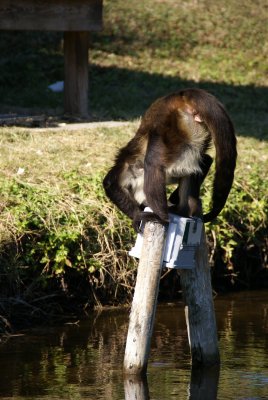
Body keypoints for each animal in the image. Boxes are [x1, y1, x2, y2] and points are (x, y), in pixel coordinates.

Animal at [102, 87, 237, 231]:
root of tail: (181, 94)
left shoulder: (129, 165)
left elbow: (110, 183)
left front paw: (139, 214)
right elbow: (206, 160)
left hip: (170, 121)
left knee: (153, 161)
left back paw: (163, 217)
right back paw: (185, 210)